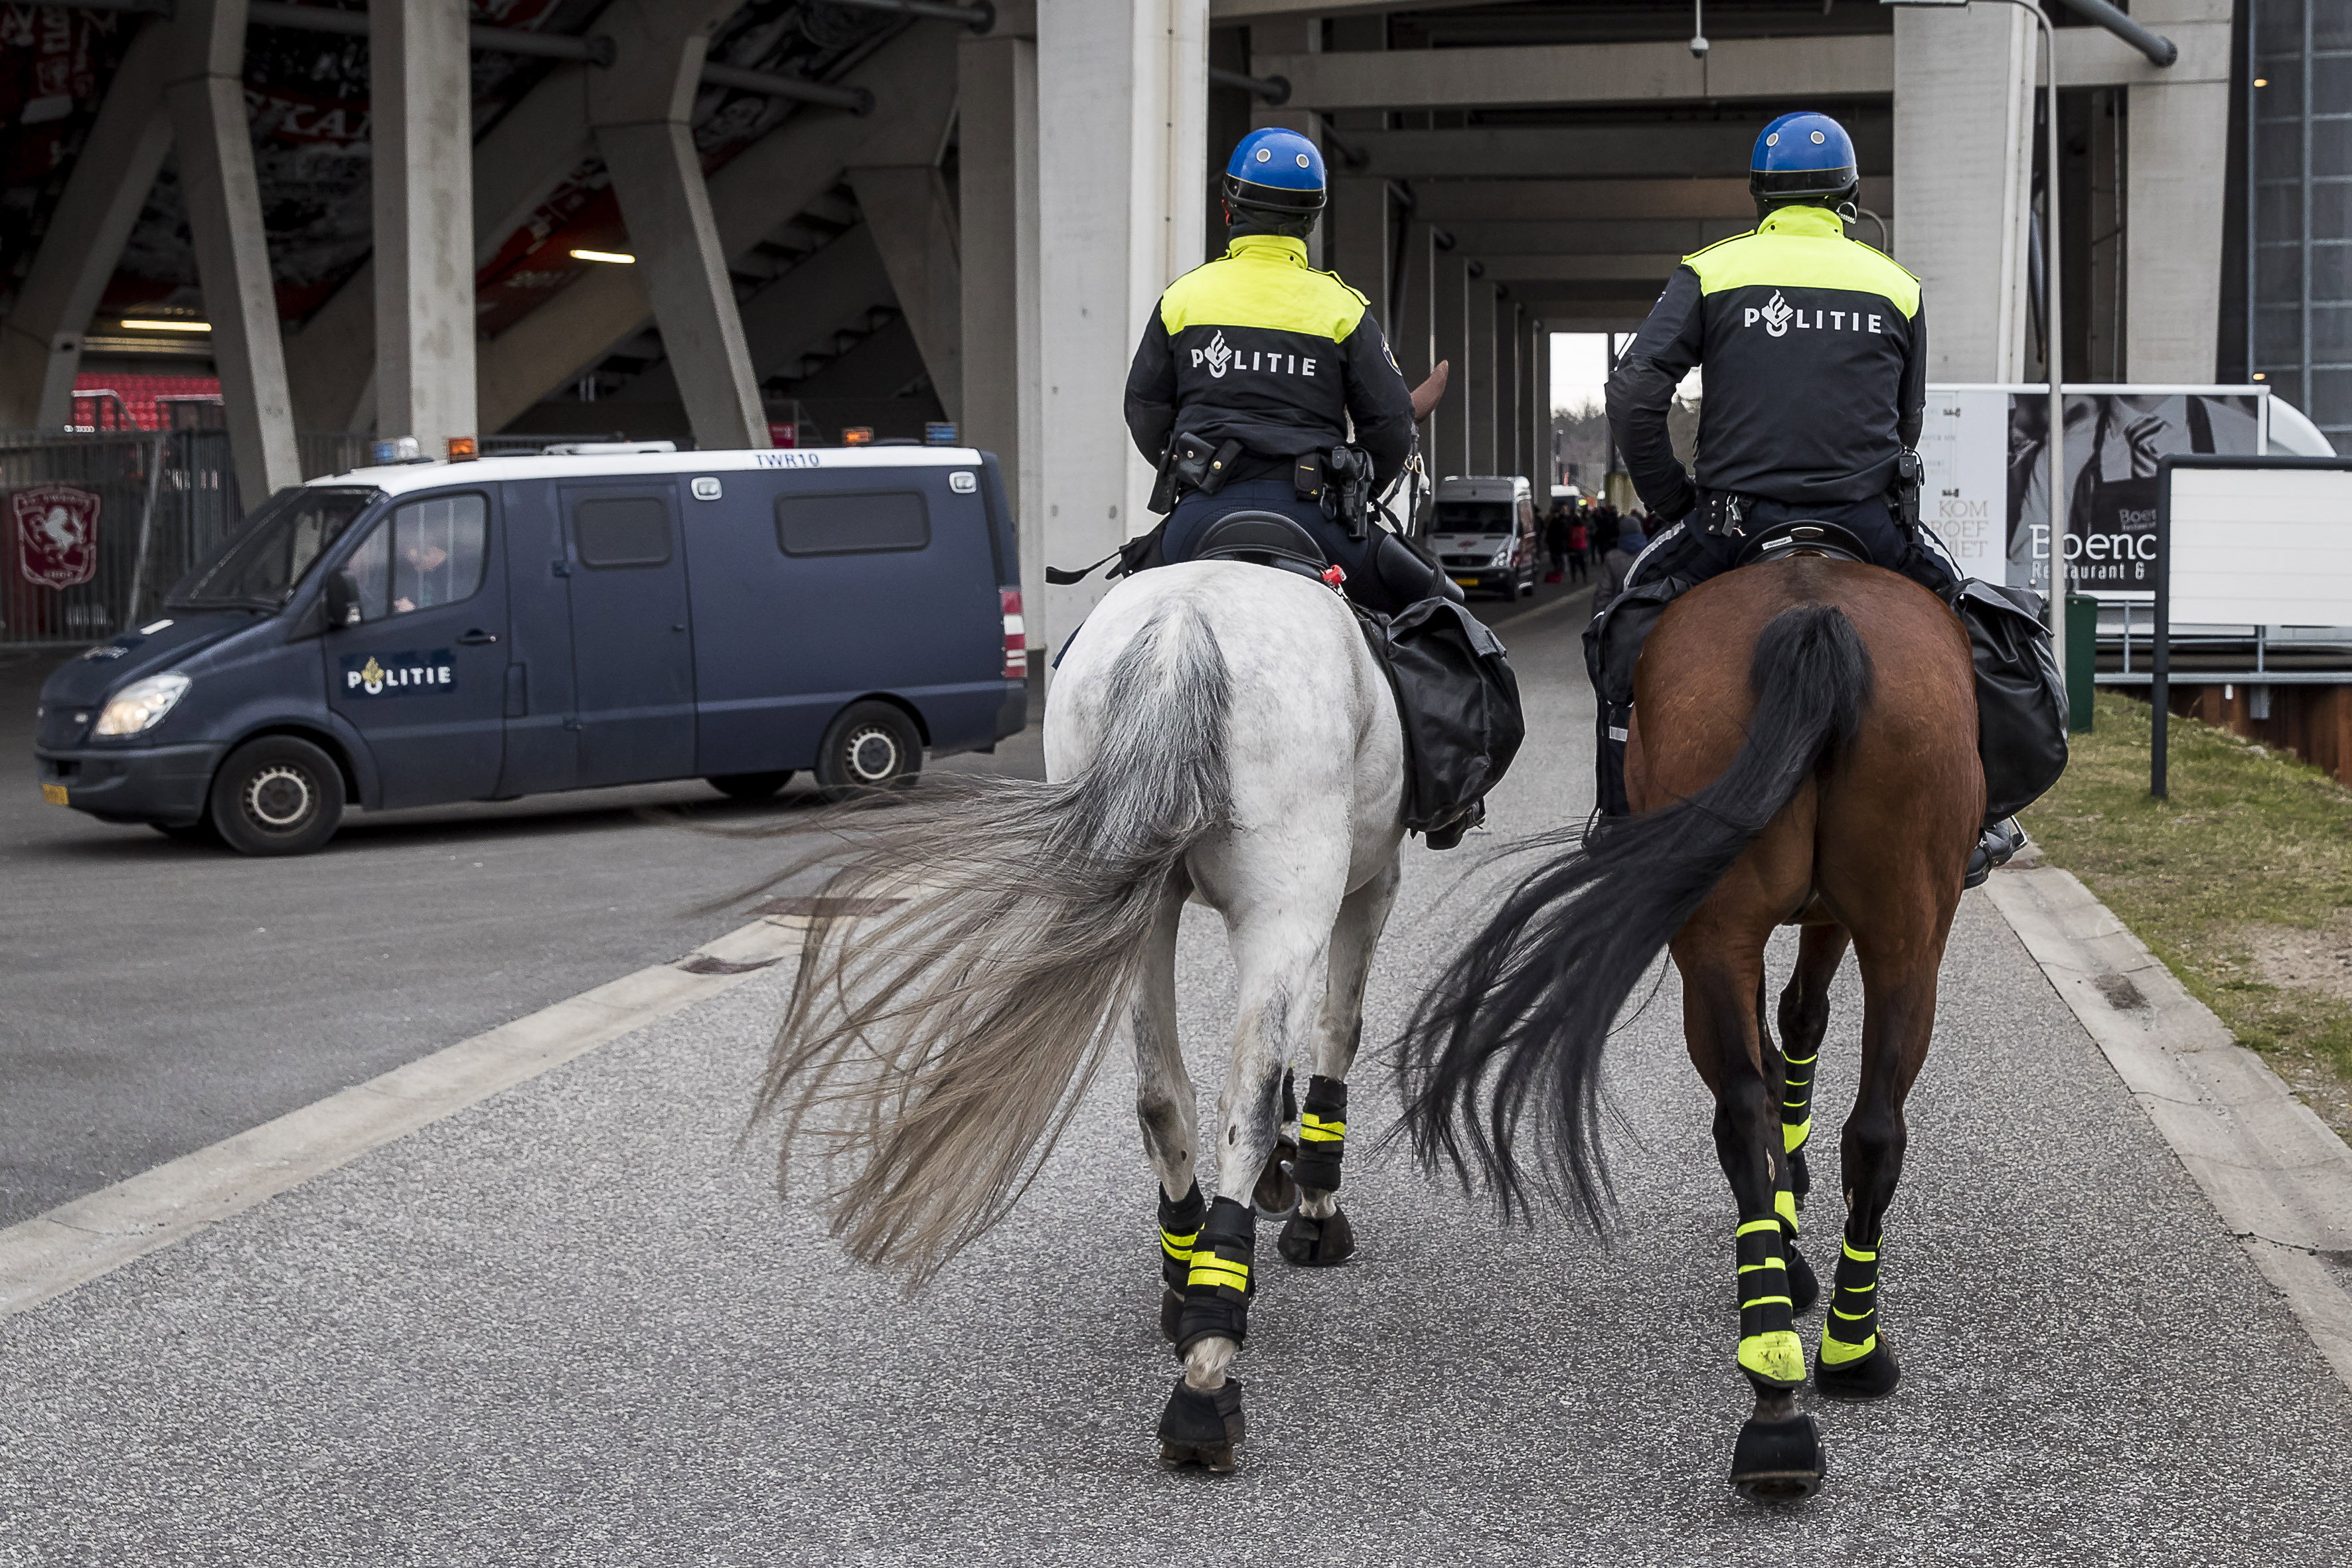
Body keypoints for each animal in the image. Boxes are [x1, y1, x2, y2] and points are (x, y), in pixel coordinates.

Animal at [752, 559, 1408, 1471]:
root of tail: (1181, 627)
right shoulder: (1370, 886)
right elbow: (1335, 1036)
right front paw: (1311, 1201)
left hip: (1139, 905)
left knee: (1165, 1099)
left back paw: (1189, 1278)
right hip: (1284, 904)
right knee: (1242, 1102)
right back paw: (1207, 1370)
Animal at [1393, 554, 1981, 1502]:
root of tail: (1813, 615)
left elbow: (1783, 1039)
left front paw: (1787, 1219)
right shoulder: (1822, 920)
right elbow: (1798, 1018)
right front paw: (1791, 1211)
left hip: (1767, 926)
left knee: (1792, 1115)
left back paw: (1786, 1381)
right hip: (1885, 931)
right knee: (1839, 1119)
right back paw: (1837, 1353)